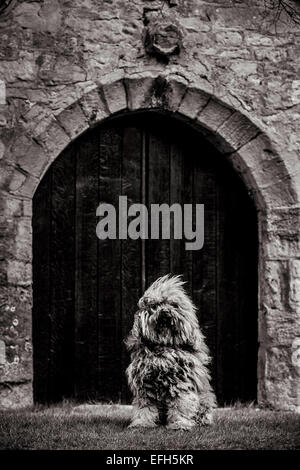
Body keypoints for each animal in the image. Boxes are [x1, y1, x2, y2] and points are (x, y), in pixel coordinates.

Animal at [124, 272, 216, 430]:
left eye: (174, 305)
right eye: (155, 306)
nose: (165, 311)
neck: (165, 346)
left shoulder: (182, 384)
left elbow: (181, 406)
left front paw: (180, 424)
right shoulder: (145, 385)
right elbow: (145, 408)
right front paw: (142, 423)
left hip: (204, 400)